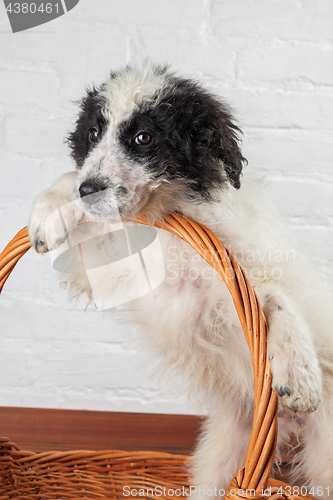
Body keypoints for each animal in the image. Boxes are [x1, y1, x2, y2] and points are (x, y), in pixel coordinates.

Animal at [27, 63, 332, 500]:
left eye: (144, 137)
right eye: (93, 133)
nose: (88, 191)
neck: (164, 218)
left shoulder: (229, 286)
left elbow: (276, 297)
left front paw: (300, 373)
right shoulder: (106, 270)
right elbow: (70, 180)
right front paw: (48, 213)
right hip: (223, 457)